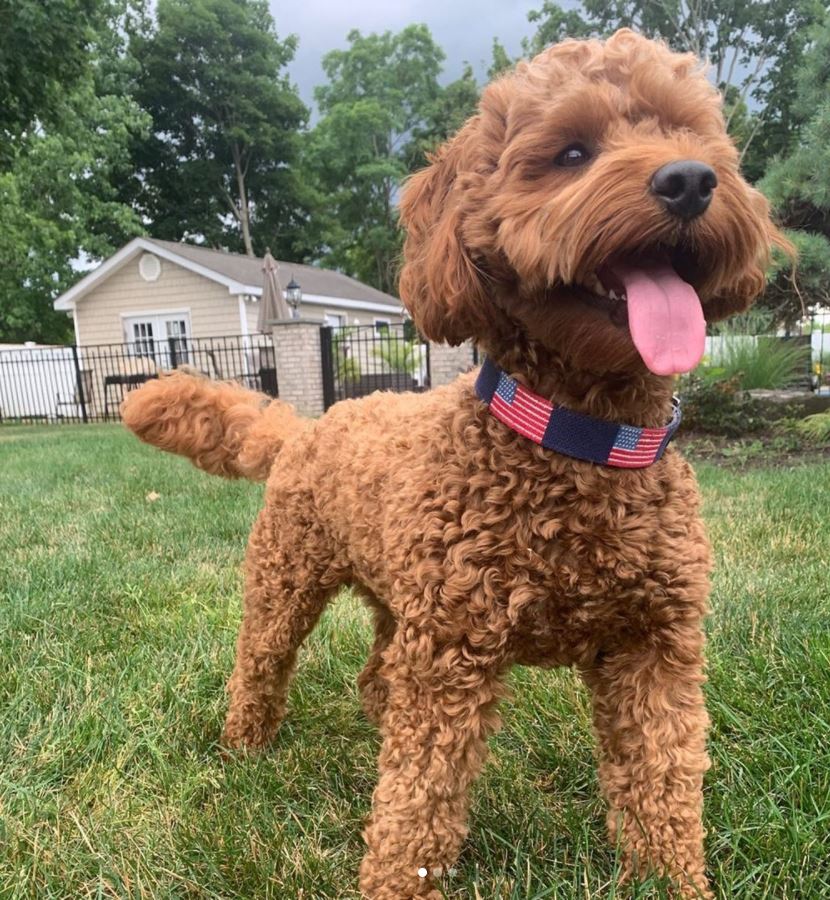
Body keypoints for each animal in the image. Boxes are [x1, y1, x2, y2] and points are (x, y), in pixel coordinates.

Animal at [122, 29, 788, 900]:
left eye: (692, 136)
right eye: (572, 152)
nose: (689, 180)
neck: (578, 442)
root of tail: (308, 424)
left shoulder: (656, 649)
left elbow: (663, 783)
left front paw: (669, 881)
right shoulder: (451, 660)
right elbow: (419, 803)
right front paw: (395, 883)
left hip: (398, 601)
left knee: (377, 673)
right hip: (286, 580)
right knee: (261, 663)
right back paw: (245, 745)